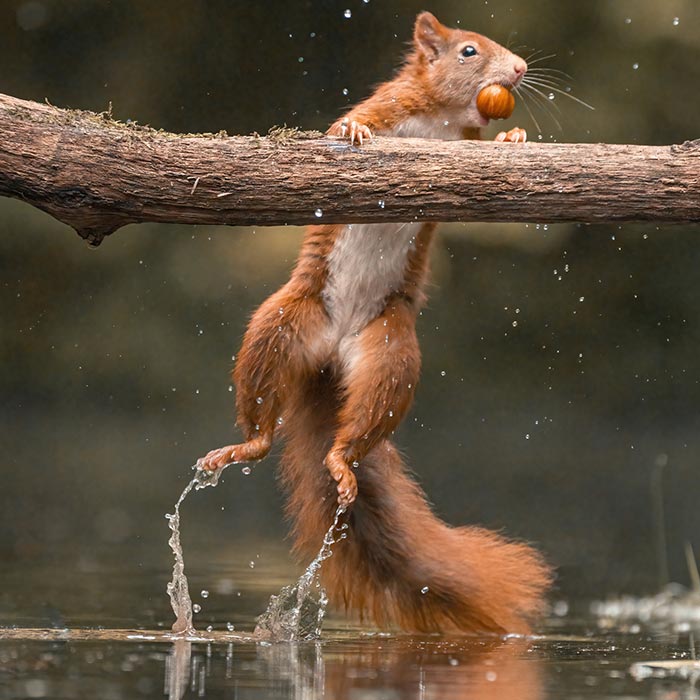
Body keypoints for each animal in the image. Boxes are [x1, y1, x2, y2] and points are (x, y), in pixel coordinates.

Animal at [198, 11, 551, 634]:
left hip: (390, 353)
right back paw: (246, 445)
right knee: (263, 424)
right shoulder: (390, 102)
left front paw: (513, 139)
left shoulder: (465, 144)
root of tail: (331, 357)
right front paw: (353, 131)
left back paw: (340, 459)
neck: (439, 117)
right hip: (281, 325)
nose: (520, 68)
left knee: (361, 423)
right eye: (468, 51)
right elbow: (352, 120)